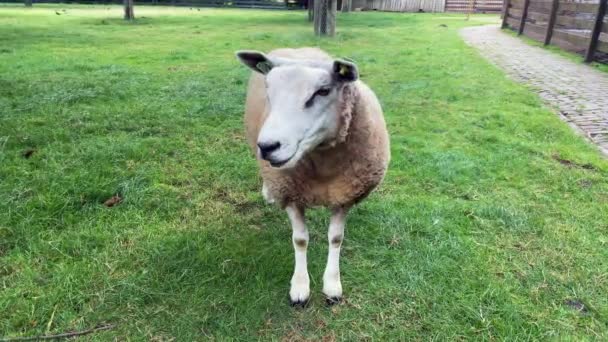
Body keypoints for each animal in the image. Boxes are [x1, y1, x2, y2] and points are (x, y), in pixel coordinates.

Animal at [235, 46, 388, 306]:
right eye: (268, 90)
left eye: (323, 91)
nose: (267, 147)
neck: (323, 167)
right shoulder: (289, 192)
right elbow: (300, 240)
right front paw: (300, 287)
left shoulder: (345, 194)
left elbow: (336, 238)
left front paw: (332, 285)